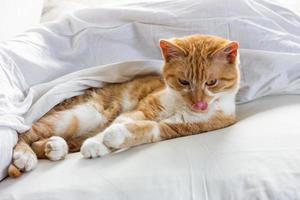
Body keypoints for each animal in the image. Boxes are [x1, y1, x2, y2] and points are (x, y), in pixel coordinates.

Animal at [8, 34, 240, 178]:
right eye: (184, 82)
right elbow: (122, 122)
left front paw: (111, 139)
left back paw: (54, 147)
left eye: (212, 83)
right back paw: (26, 156)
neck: (180, 105)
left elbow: (147, 130)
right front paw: (100, 142)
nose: (199, 103)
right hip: (76, 117)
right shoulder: (143, 110)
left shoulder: (177, 128)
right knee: (25, 134)